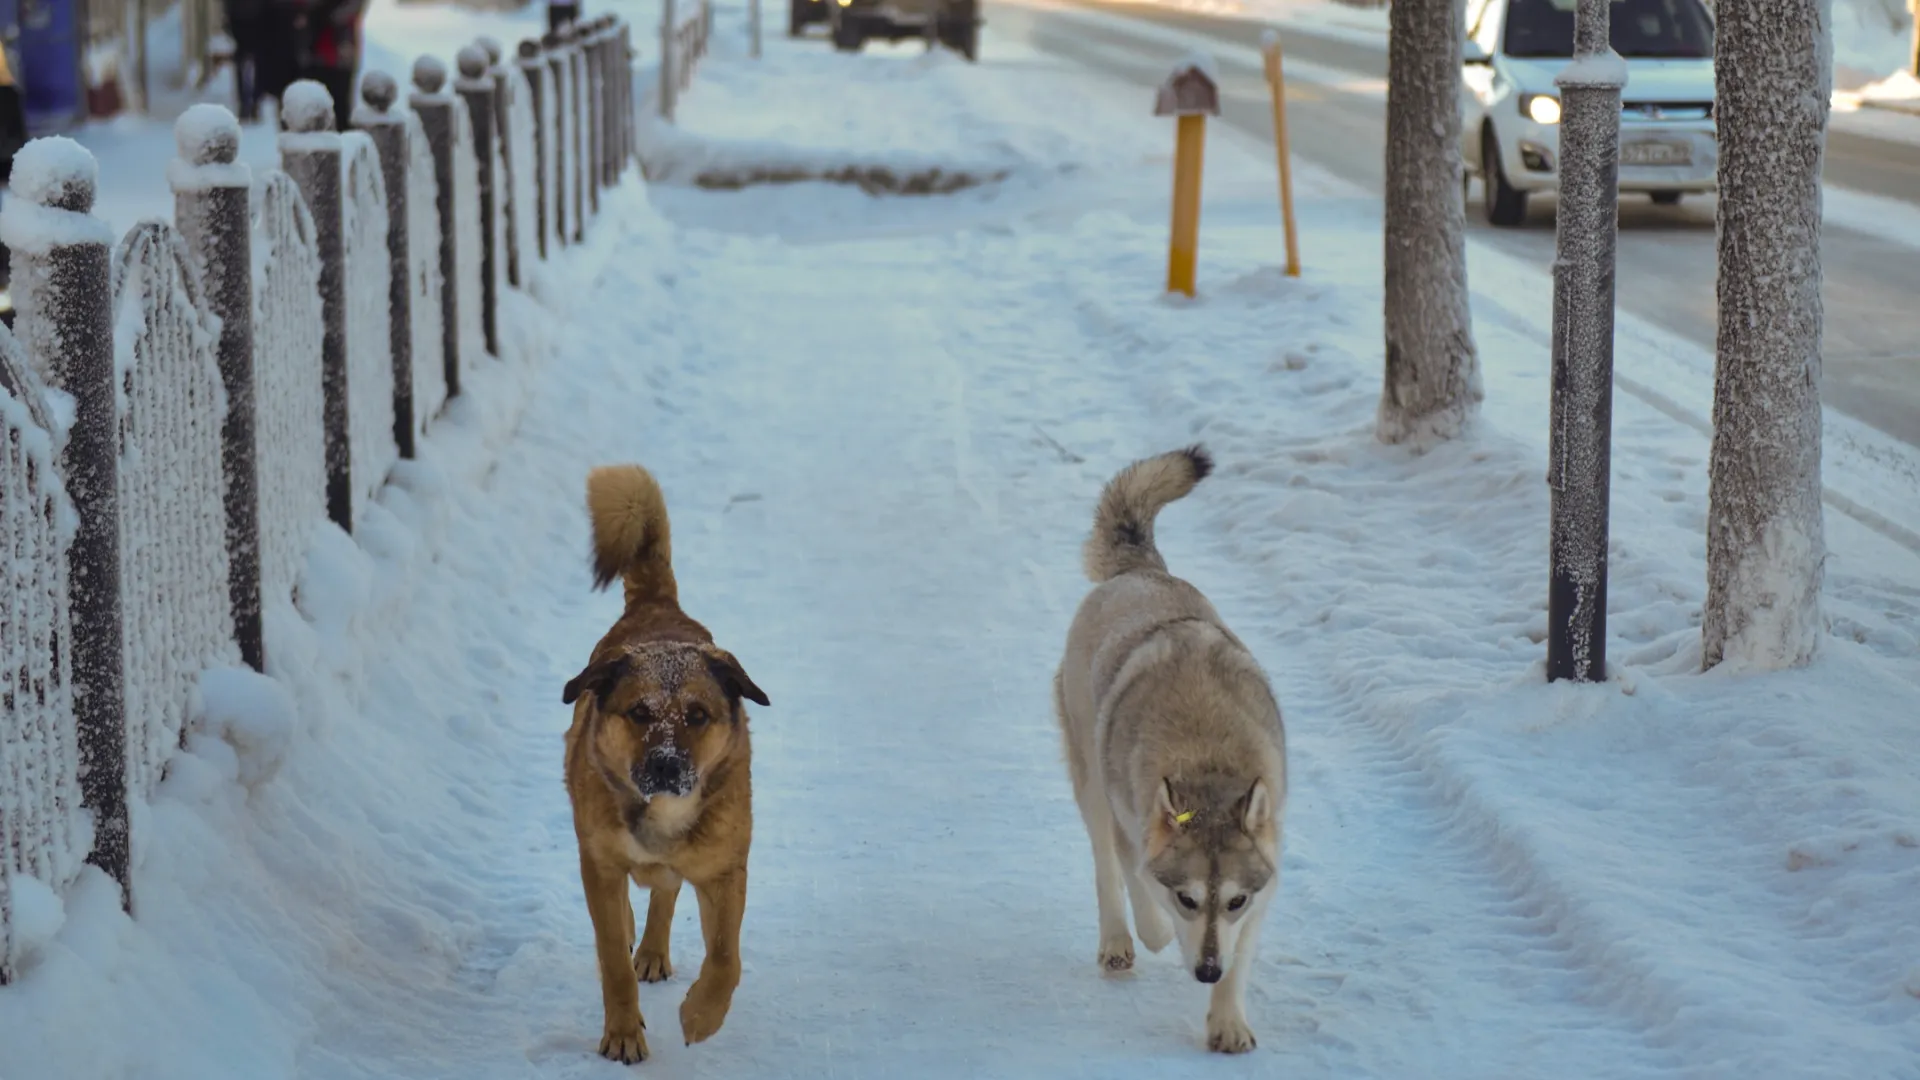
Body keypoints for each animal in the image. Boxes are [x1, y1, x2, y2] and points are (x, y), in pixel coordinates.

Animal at [560, 463, 768, 1060]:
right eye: (639, 711)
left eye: (697, 715)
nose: (667, 765)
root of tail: (658, 608)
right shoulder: (600, 862)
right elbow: (611, 958)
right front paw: (623, 1034)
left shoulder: (724, 869)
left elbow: (726, 957)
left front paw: (701, 1016)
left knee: (667, 892)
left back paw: (653, 948)